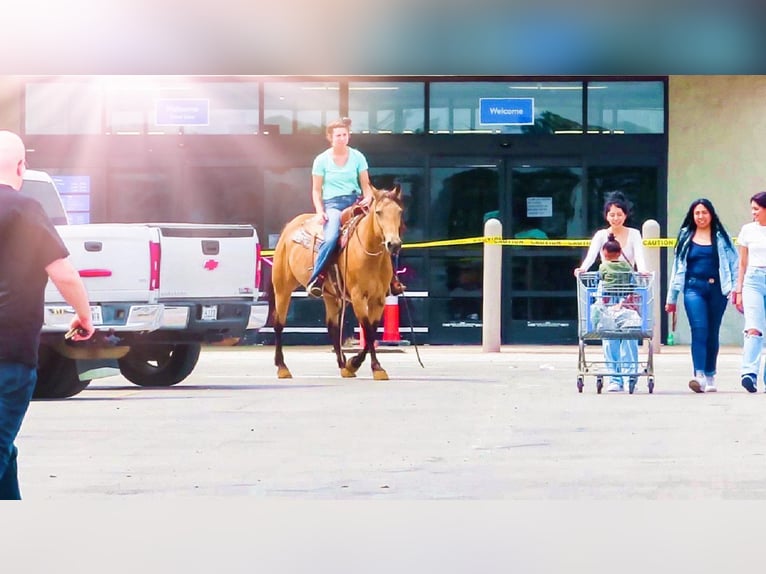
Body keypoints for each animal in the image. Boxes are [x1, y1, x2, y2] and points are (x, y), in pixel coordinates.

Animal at [268, 186, 404, 382]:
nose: (394, 244)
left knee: (332, 326)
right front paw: (375, 368)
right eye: (378, 212)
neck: (369, 253)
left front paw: (353, 364)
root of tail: (290, 227)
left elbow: (371, 330)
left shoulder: (378, 299)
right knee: (279, 323)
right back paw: (282, 367)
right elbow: (368, 330)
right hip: (282, 288)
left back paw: (342, 365)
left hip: (330, 295)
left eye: (399, 212)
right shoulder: (358, 297)